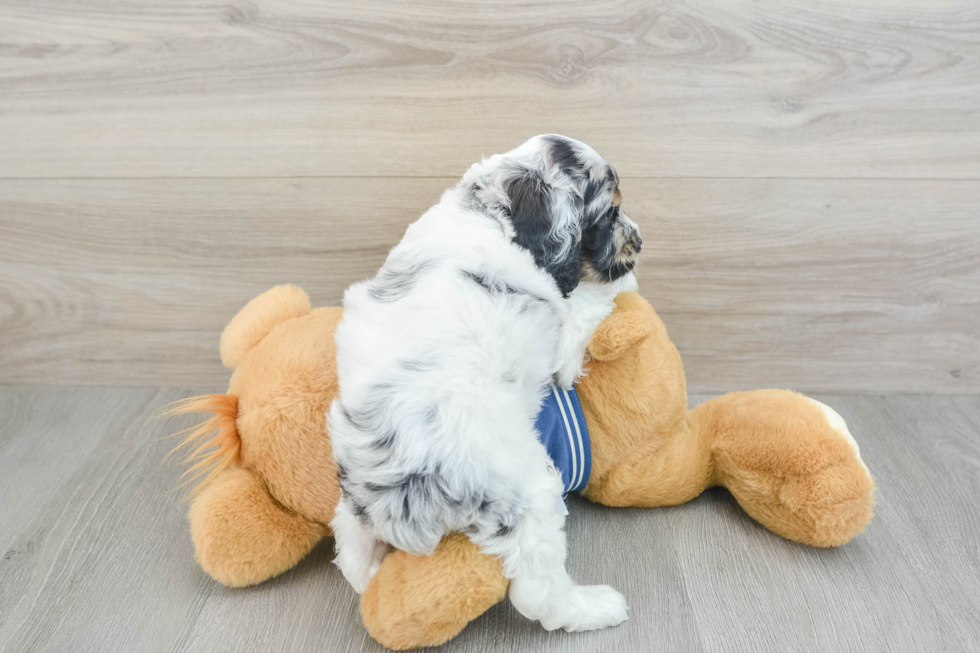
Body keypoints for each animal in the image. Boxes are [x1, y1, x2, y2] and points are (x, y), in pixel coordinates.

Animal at [334, 136, 644, 632]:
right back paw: (595, 607)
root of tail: (396, 498)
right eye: (610, 211)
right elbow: (593, 301)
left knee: (349, 552)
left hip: (350, 510)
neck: (487, 209)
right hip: (530, 494)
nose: (641, 240)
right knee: (537, 594)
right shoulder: (561, 335)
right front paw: (624, 277)